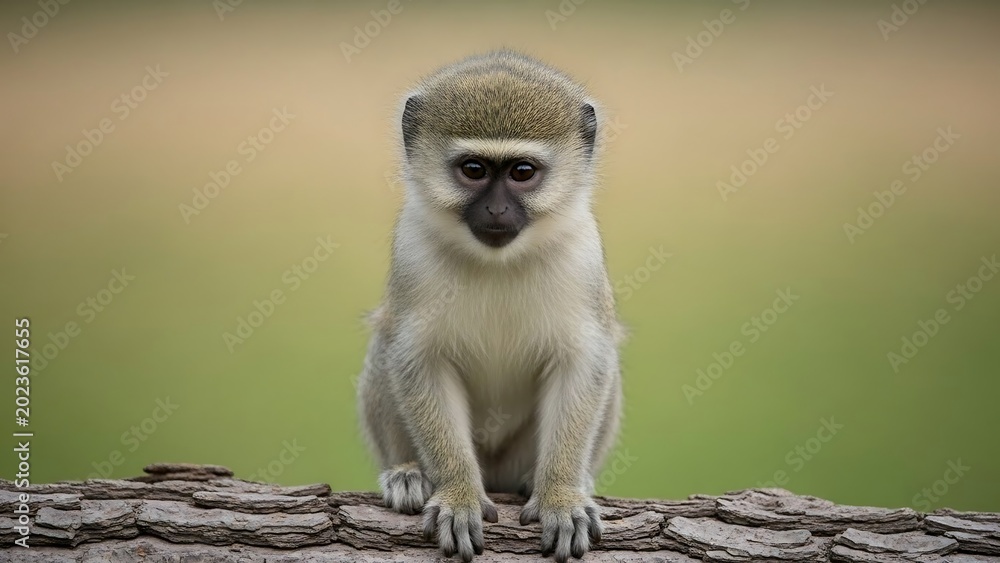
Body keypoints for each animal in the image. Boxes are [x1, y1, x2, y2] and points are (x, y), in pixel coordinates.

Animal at [357, 49, 624, 563]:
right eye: (474, 170)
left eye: (521, 173)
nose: (497, 211)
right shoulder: (412, 251)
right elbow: (416, 359)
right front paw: (458, 494)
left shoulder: (583, 254)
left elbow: (583, 363)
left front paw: (561, 494)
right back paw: (408, 472)